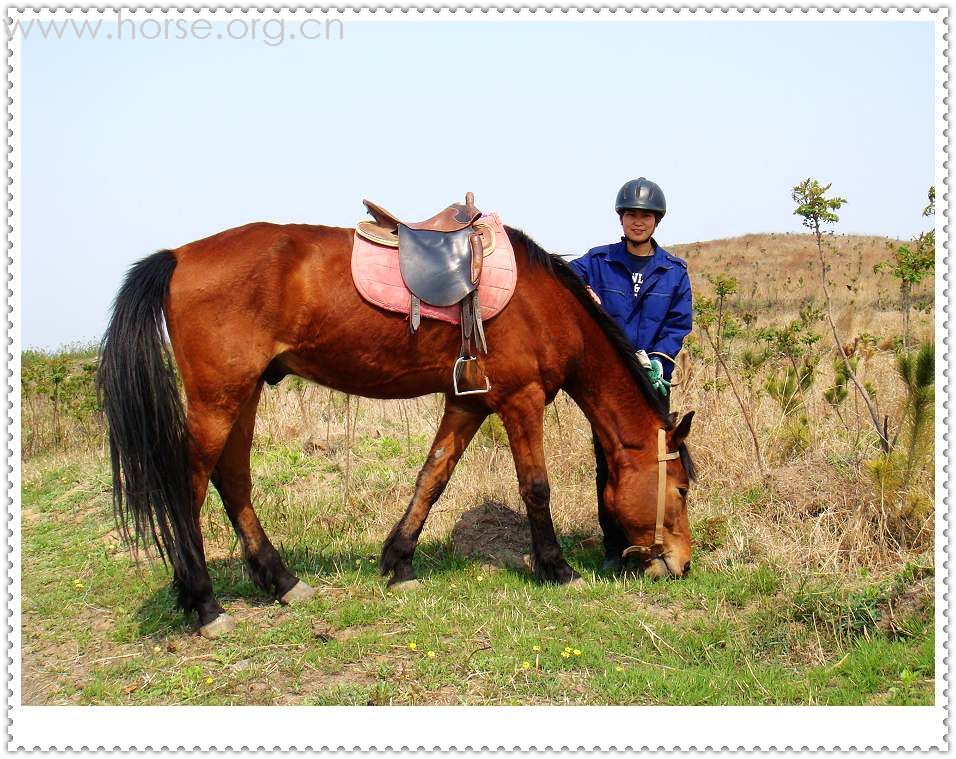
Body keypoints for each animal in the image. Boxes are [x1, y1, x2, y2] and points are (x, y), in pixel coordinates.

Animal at [97, 223, 696, 640]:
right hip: (217, 399)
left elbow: (433, 476)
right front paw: (556, 568)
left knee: (233, 479)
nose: (682, 564)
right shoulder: (521, 401)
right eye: (683, 489)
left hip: (242, 396)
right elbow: (536, 487)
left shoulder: (467, 403)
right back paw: (204, 604)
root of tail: (179, 256)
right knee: (189, 488)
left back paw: (283, 582)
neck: (544, 305)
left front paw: (399, 561)